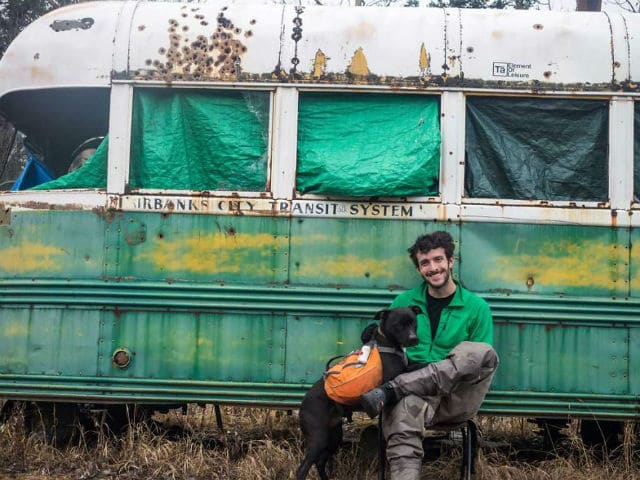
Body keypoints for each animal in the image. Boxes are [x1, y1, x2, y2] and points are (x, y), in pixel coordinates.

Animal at [296, 308, 420, 480]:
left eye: (414, 322)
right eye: (398, 325)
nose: (414, 338)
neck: (387, 343)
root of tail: (303, 404)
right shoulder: (392, 377)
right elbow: (417, 367)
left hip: (334, 436)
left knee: (320, 462)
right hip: (318, 438)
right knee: (302, 469)